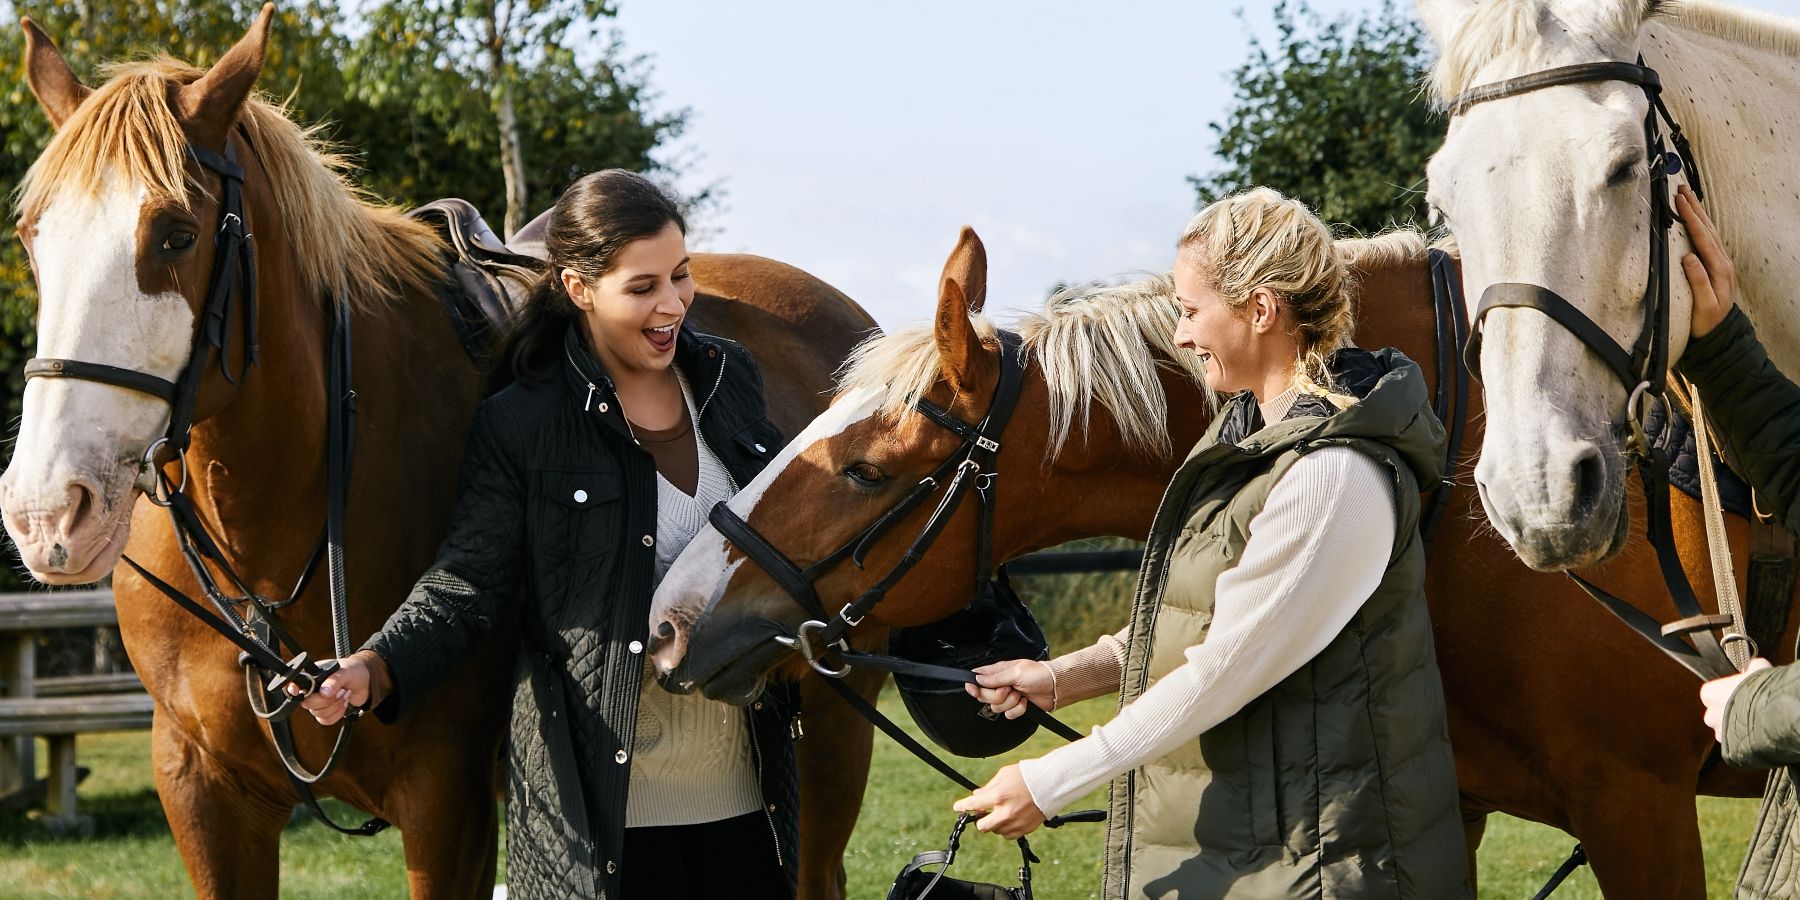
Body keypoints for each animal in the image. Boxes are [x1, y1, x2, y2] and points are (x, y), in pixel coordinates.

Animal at [0, 8, 885, 900]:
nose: (47, 510)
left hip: (830, 741)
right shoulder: (202, 792)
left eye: (175, 234)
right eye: (32, 238)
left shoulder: (446, 803)